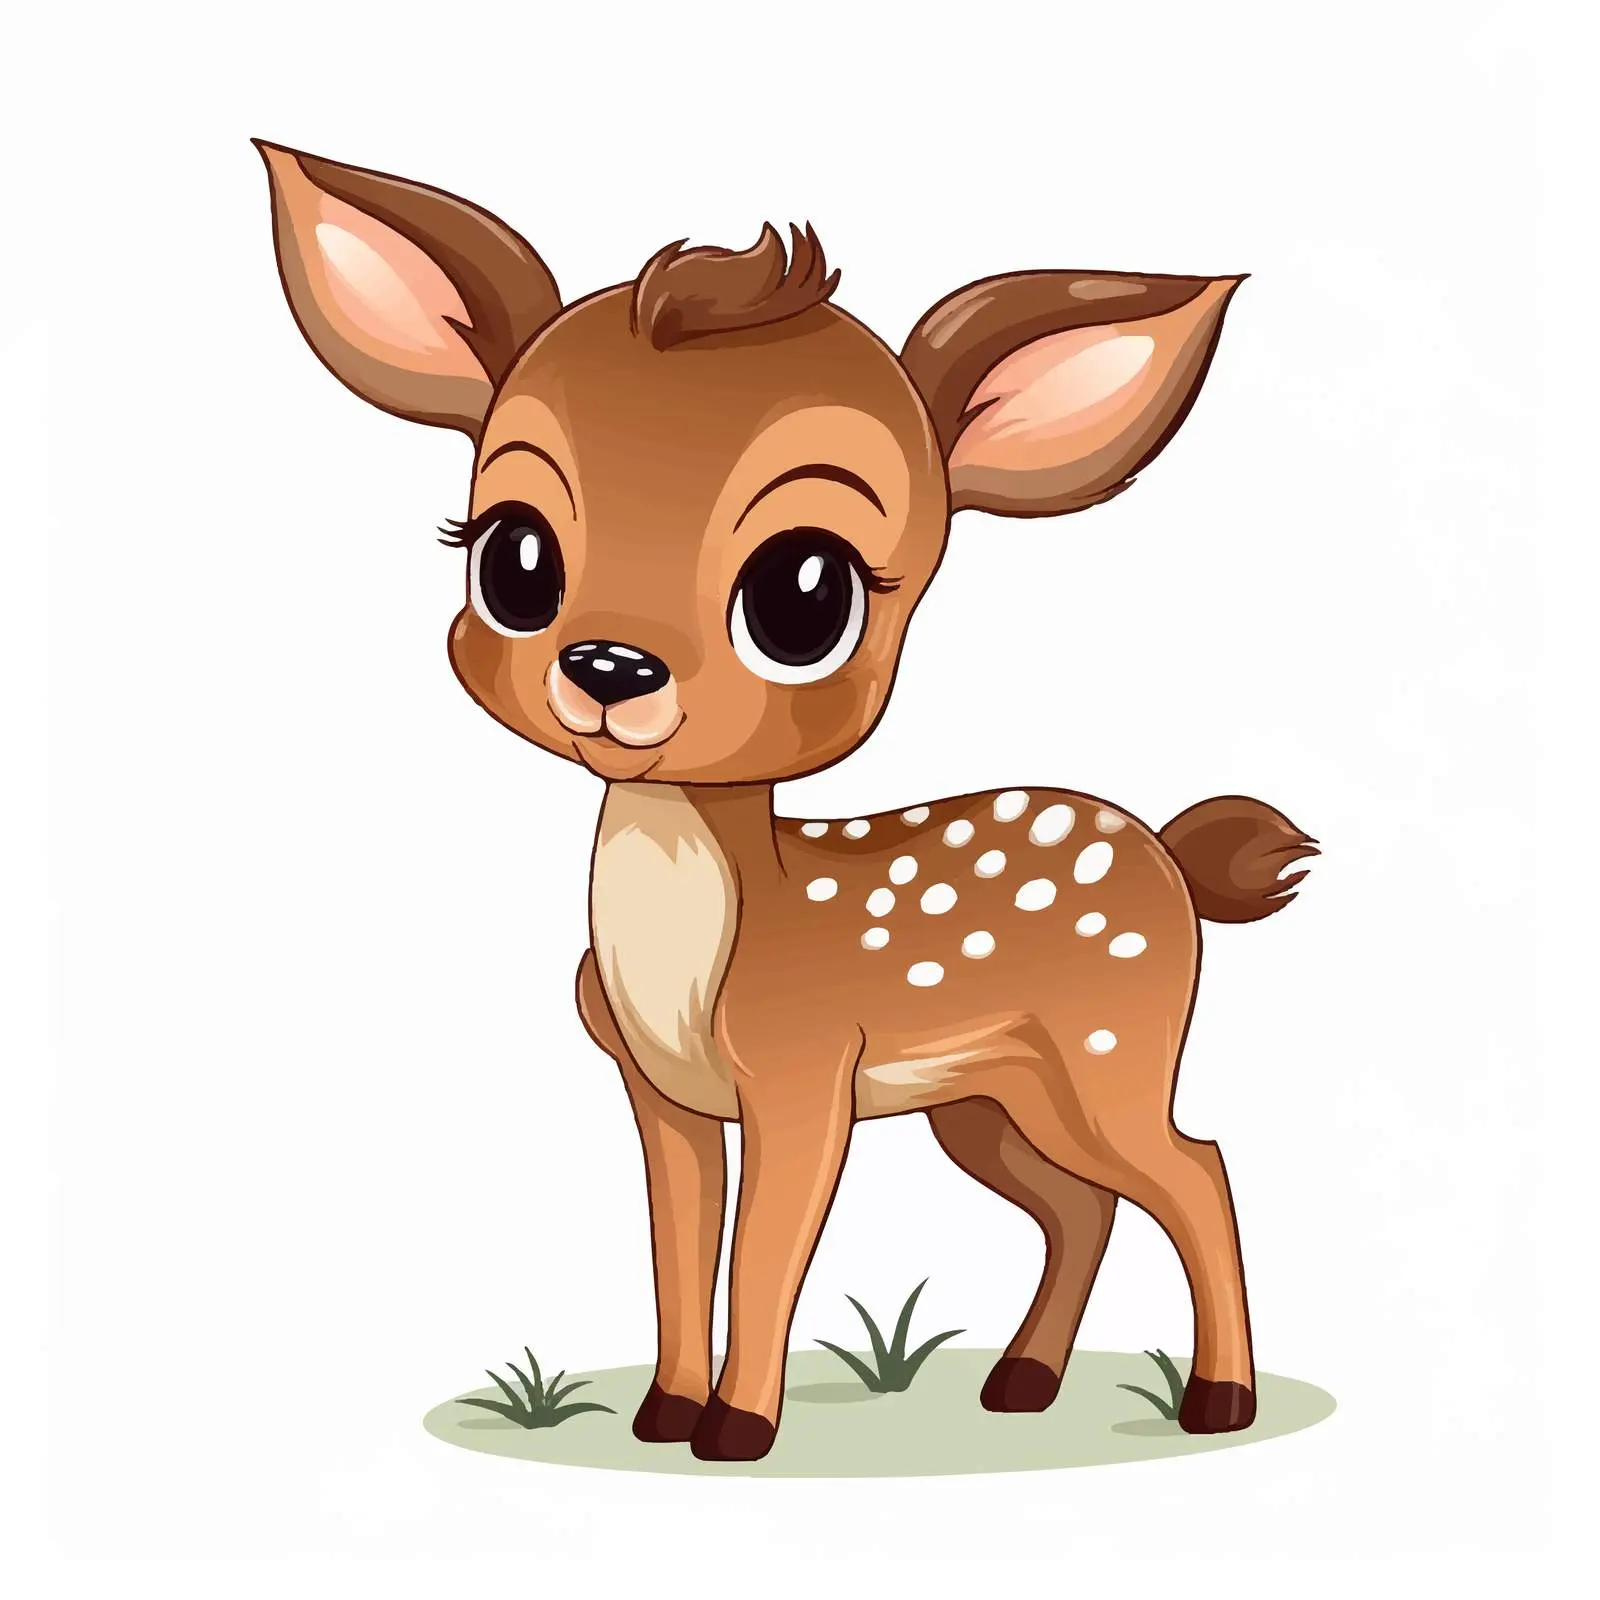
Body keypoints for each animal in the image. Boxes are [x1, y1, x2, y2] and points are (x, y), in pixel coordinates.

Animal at [255, 140, 1317, 1463]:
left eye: (804, 594)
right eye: (511, 554)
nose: (609, 668)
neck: (692, 950)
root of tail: (1171, 854)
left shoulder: (806, 1080)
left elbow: (766, 1252)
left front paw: (737, 1428)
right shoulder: (659, 1093)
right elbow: (677, 1244)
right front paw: (664, 1411)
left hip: (1111, 1048)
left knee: (1196, 1166)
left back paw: (1215, 1399)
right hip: (990, 1098)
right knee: (1083, 1205)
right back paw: (1020, 1382)